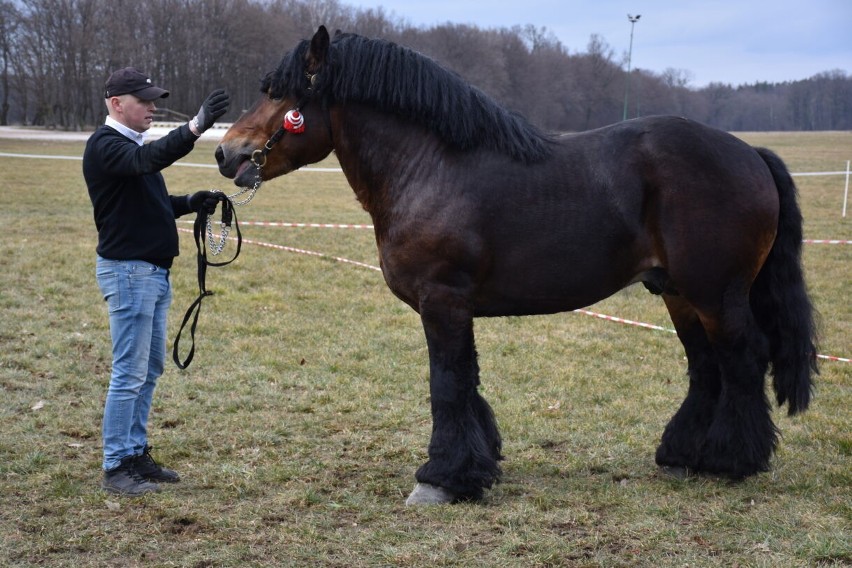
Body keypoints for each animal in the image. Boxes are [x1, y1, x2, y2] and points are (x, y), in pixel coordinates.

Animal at [215, 27, 820, 506]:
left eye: (283, 94)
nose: (227, 153)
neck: (430, 166)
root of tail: (749, 153)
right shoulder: (456, 308)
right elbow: (468, 382)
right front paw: (476, 466)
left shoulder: (443, 301)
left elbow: (447, 383)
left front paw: (441, 478)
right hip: (678, 293)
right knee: (706, 367)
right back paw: (682, 455)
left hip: (715, 293)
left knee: (743, 359)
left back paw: (731, 461)